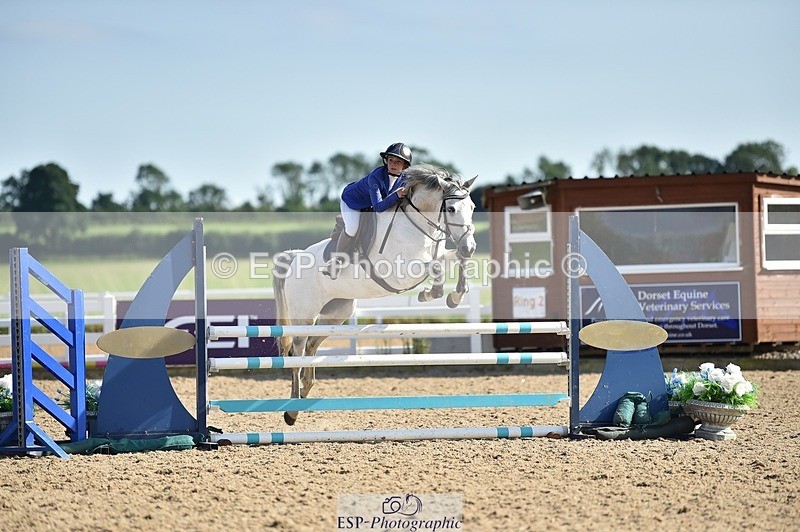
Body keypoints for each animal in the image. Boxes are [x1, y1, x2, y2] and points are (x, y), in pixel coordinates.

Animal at [272, 163, 477, 425]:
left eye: (472, 207)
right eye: (450, 209)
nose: (470, 246)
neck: (417, 226)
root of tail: (295, 257)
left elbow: (455, 260)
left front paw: (455, 295)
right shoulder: (401, 272)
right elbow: (436, 267)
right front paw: (432, 293)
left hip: (336, 314)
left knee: (311, 346)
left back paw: (305, 390)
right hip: (305, 315)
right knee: (297, 352)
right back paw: (292, 411)